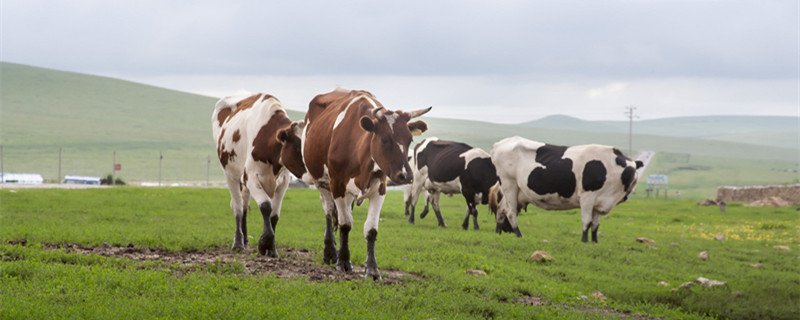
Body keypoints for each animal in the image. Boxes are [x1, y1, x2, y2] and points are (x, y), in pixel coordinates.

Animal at [212, 92, 306, 258]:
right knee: (237, 207)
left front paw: (272, 249)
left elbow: (274, 215)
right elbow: (266, 207)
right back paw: (238, 243)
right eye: (296, 146)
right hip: (230, 175)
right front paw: (264, 243)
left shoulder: (283, 182)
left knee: (244, 205)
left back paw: (245, 240)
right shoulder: (251, 178)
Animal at [302, 86, 432, 278]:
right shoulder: (337, 185)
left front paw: (371, 269)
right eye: (384, 139)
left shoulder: (380, 189)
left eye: (410, 140)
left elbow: (370, 230)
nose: (406, 176)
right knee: (329, 211)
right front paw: (343, 262)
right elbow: (345, 224)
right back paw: (330, 253)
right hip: (321, 182)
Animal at [488, 136, 644, 242]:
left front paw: (594, 242)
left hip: (516, 192)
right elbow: (587, 221)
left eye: (634, 170)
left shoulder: (598, 201)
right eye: (629, 171)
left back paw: (498, 232)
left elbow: (595, 225)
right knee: (511, 213)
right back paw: (519, 235)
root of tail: (499, 143)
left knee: (501, 209)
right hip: (509, 184)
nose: (633, 179)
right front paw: (584, 241)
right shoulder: (587, 196)